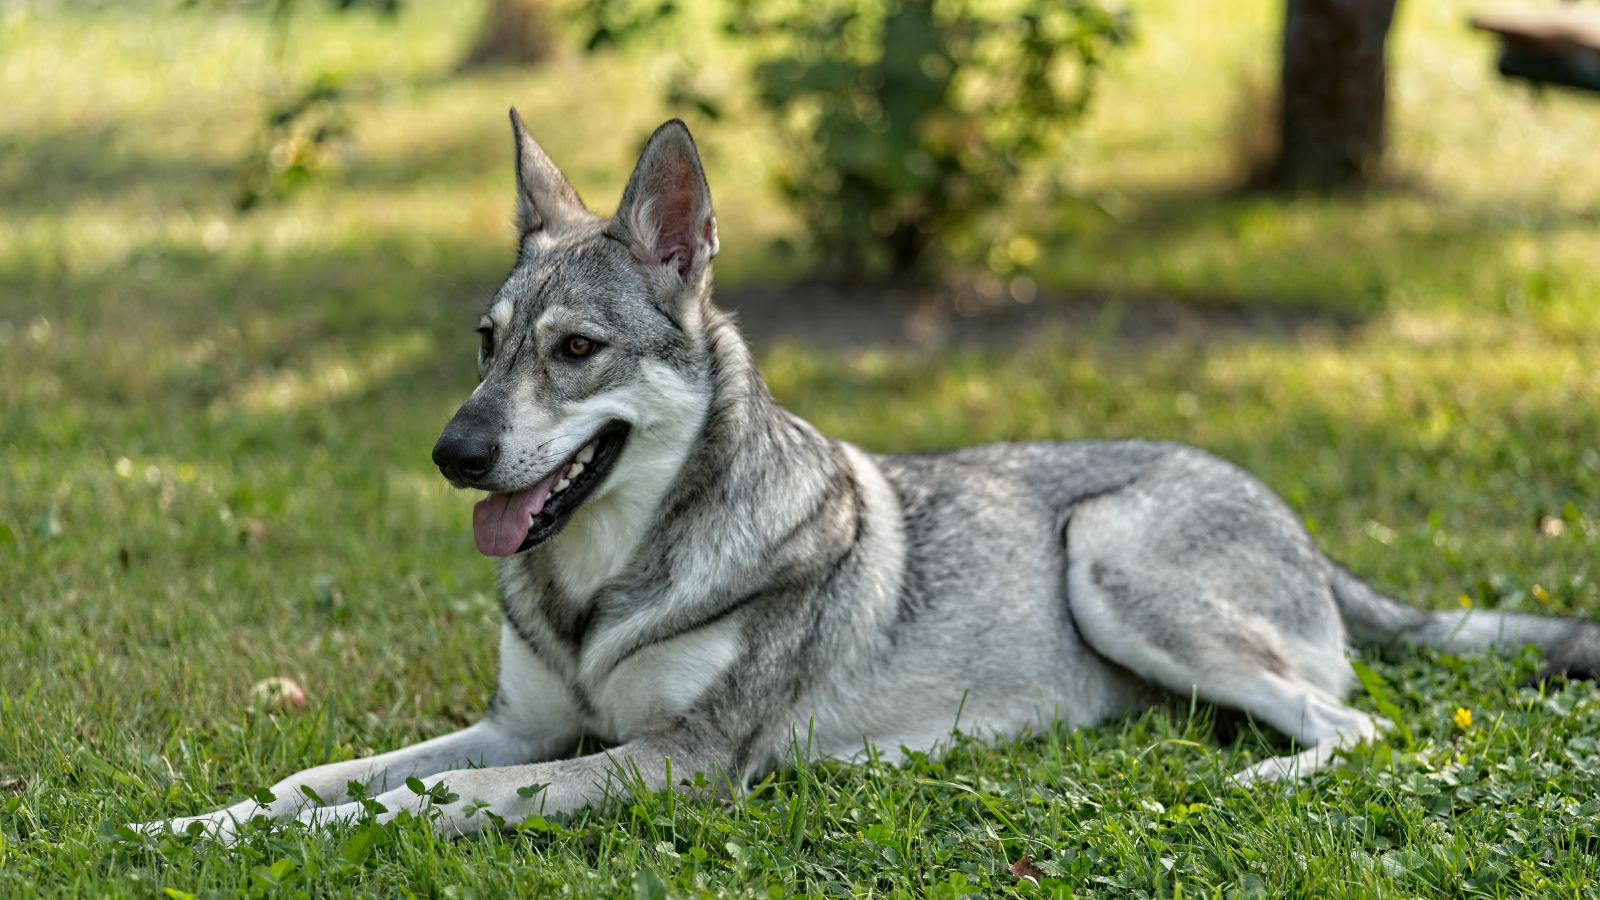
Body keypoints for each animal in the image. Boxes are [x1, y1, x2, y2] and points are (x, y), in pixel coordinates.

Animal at [139, 112, 1600, 841]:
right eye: (485, 344)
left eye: (575, 350)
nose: (454, 455)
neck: (600, 589)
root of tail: (1293, 520)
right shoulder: (525, 728)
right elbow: (323, 780)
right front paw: (194, 828)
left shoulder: (672, 767)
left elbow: (419, 801)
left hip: (1107, 556)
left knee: (1354, 727)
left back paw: (1250, 780)